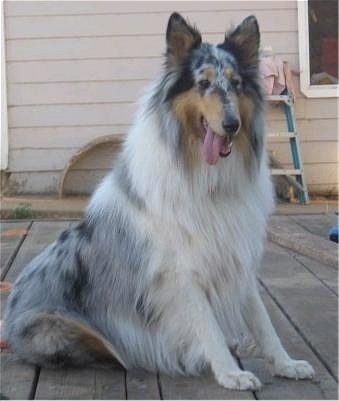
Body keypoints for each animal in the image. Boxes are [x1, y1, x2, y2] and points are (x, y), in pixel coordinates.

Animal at [3, 13, 316, 390]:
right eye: (203, 83)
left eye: (236, 83)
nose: (232, 125)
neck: (207, 176)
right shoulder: (179, 272)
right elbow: (206, 325)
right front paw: (230, 373)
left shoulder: (236, 255)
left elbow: (262, 320)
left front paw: (286, 364)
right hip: (59, 328)